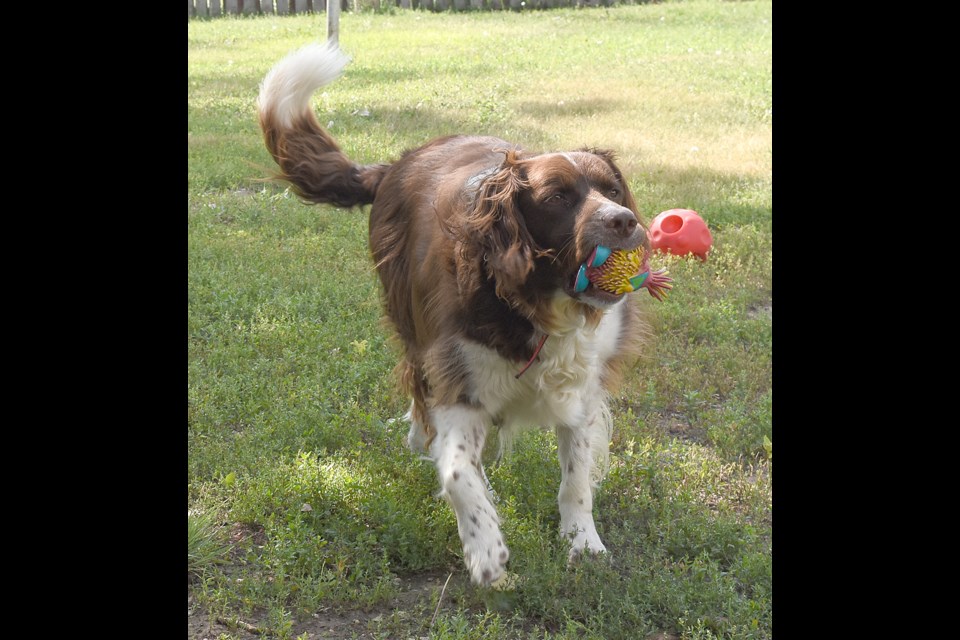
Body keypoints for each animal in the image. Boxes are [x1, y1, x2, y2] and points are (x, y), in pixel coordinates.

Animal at [255, 42, 660, 588]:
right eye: (557, 198)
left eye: (613, 189)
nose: (624, 221)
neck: (537, 304)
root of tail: (397, 162)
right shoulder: (457, 376)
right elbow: (456, 470)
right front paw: (486, 552)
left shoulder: (582, 385)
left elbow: (576, 476)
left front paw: (583, 543)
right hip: (409, 320)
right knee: (422, 396)